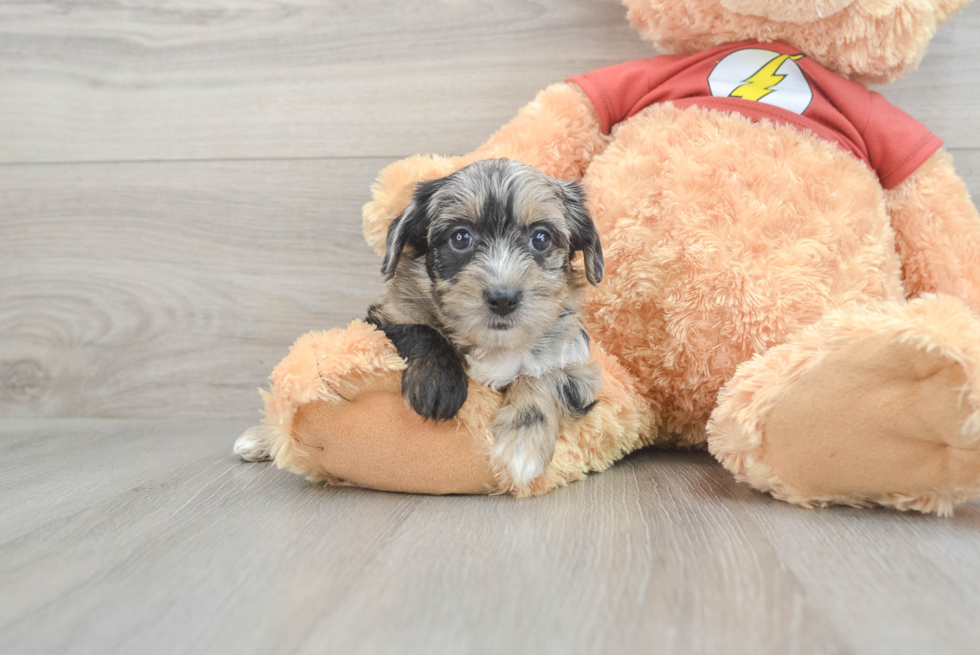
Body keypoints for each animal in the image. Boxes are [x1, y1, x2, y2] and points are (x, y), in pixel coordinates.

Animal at [364, 159, 600, 486]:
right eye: (460, 237)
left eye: (541, 239)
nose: (502, 298)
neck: (495, 343)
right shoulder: (386, 315)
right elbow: (420, 330)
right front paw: (437, 384)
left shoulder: (576, 363)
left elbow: (547, 379)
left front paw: (523, 444)